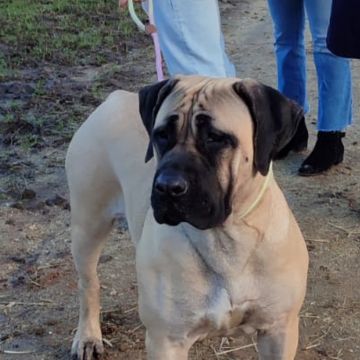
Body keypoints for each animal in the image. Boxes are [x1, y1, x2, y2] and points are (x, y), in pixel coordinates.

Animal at [67, 74, 310, 358]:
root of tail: (114, 97)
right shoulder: (167, 341)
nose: (168, 186)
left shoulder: (278, 331)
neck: (225, 238)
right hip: (88, 225)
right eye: (161, 135)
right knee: (88, 284)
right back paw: (88, 335)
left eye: (215, 138)